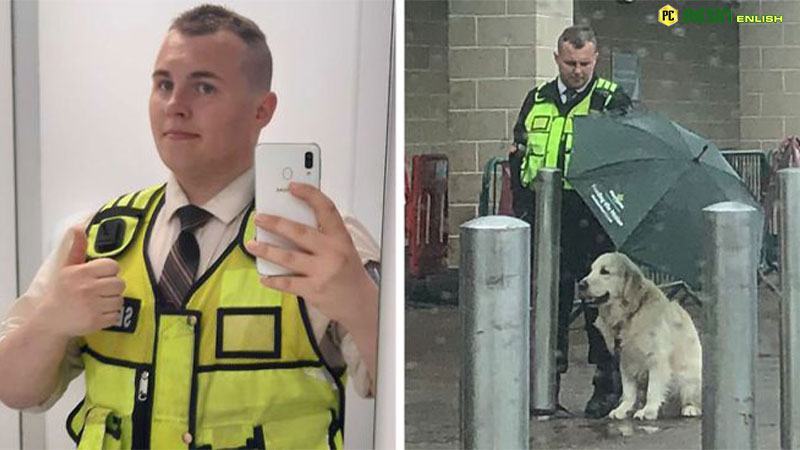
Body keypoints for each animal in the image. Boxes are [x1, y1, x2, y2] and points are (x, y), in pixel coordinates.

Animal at [576, 251, 700, 420]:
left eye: (605, 271)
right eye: (591, 270)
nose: (581, 284)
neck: (630, 314)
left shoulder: (656, 358)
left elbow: (653, 389)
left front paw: (648, 410)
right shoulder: (625, 359)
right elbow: (628, 390)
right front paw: (623, 409)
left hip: (688, 376)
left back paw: (690, 408)